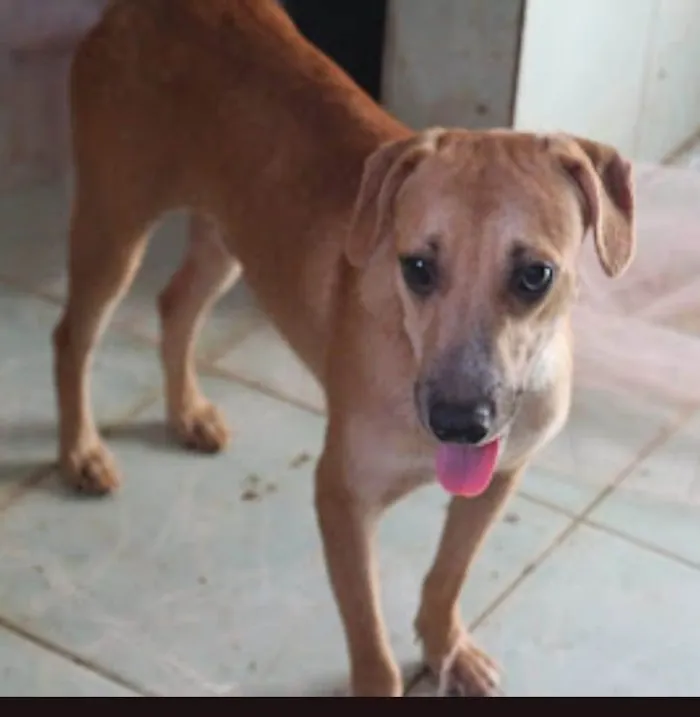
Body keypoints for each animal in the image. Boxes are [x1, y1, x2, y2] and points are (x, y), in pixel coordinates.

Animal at [54, 0, 636, 692]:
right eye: (417, 267)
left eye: (535, 275)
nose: (459, 423)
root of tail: (140, 9)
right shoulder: (342, 498)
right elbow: (372, 645)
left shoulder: (499, 480)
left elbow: (448, 577)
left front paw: (446, 648)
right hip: (114, 228)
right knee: (73, 337)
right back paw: (81, 452)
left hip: (230, 238)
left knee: (175, 306)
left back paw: (186, 412)